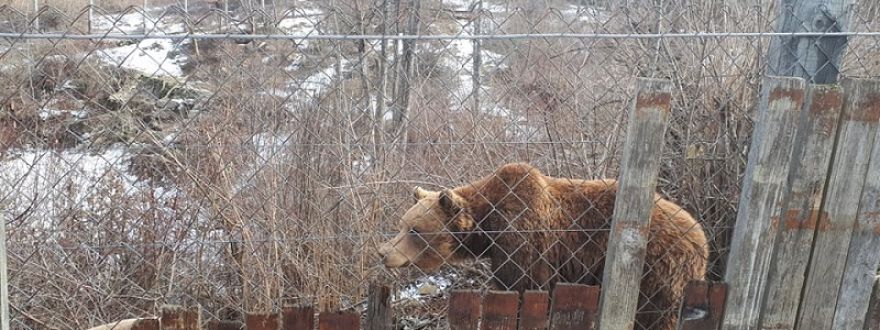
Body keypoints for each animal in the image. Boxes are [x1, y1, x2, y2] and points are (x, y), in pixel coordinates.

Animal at [378, 163, 708, 330]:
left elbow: (521, 288)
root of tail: (700, 235)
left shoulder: (523, 241)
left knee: (656, 315)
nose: (384, 252)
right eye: (402, 224)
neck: (488, 226)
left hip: (659, 270)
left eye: (415, 230)